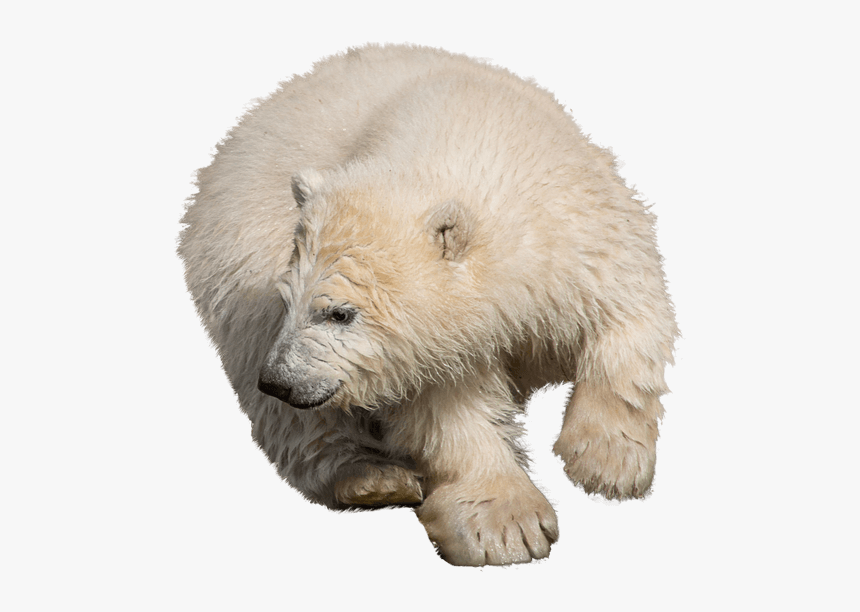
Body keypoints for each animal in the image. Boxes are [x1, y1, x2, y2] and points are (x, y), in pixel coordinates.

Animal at [178, 44, 678, 566]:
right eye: (289, 300)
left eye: (340, 313)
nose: (278, 380)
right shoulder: (414, 349)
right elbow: (445, 408)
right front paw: (506, 526)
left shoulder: (582, 232)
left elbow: (630, 318)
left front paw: (607, 462)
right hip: (239, 262)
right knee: (291, 413)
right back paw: (372, 478)